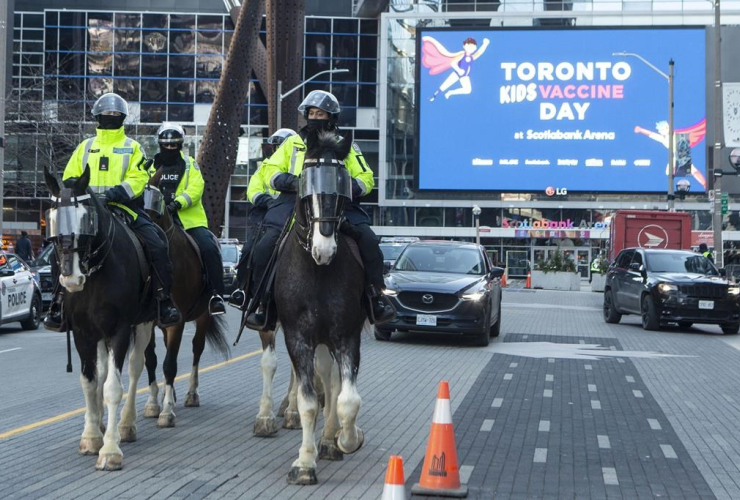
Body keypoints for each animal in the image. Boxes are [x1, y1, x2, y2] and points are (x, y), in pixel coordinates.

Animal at [142, 175, 228, 426]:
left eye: (156, 205)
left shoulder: (178, 322)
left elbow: (170, 364)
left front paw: (166, 412)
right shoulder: (147, 322)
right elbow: (151, 360)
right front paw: (153, 404)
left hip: (203, 317)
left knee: (196, 349)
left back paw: (191, 394)